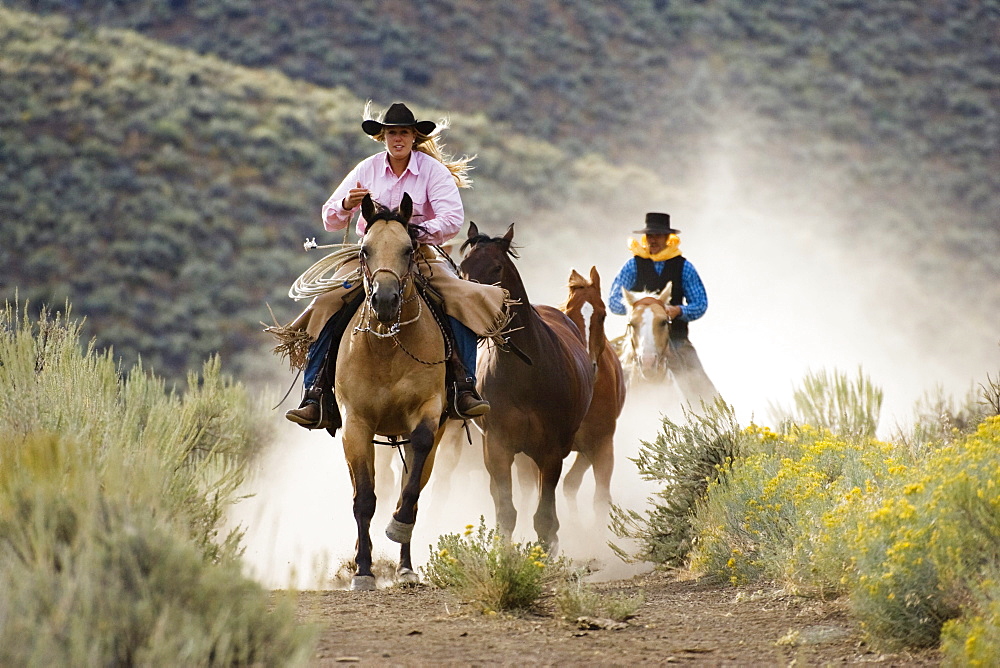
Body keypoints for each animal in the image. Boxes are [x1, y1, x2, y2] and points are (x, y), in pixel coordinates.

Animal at [336, 193, 450, 588]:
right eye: (365, 249)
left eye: (408, 248)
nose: (385, 300)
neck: (386, 348)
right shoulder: (356, 425)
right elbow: (363, 499)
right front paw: (363, 570)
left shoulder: (428, 411)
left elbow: (409, 491)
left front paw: (398, 528)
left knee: (410, 487)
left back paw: (404, 566)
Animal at [458, 222, 592, 552]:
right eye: (463, 267)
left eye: (496, 266)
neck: (524, 375)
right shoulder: (497, 448)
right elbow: (505, 510)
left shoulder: (552, 451)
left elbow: (544, 517)